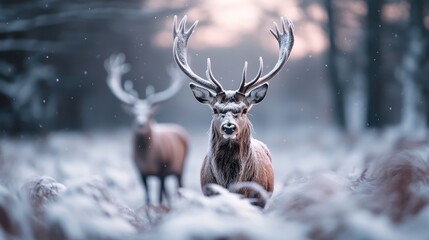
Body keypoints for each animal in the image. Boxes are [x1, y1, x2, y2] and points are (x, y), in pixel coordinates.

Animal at [104, 54, 187, 204]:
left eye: (149, 115)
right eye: (133, 114)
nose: (140, 124)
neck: (148, 160)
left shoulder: (162, 169)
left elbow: (158, 196)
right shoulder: (140, 172)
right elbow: (147, 196)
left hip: (181, 166)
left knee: (179, 186)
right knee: (168, 192)